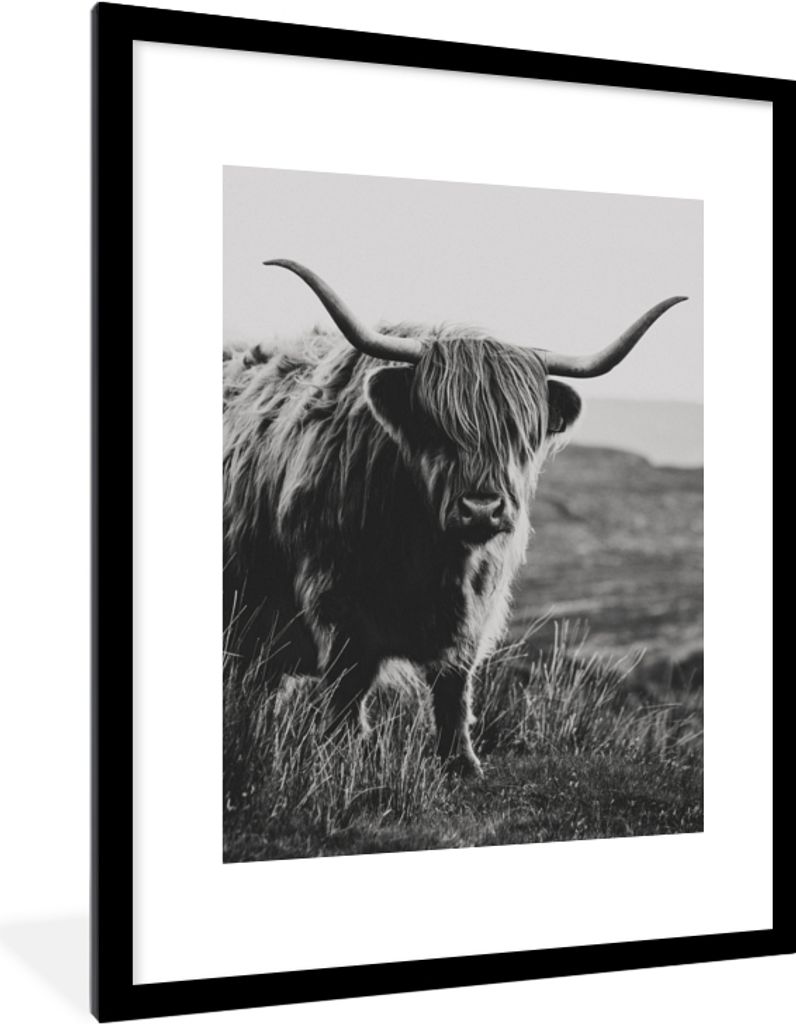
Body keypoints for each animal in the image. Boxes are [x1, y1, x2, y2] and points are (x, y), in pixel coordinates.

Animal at [223, 259, 686, 775]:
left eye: (519, 433)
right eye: (436, 426)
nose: (482, 507)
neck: (430, 554)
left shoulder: (476, 607)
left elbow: (454, 684)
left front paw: (461, 761)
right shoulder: (335, 598)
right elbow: (348, 682)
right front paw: (344, 753)